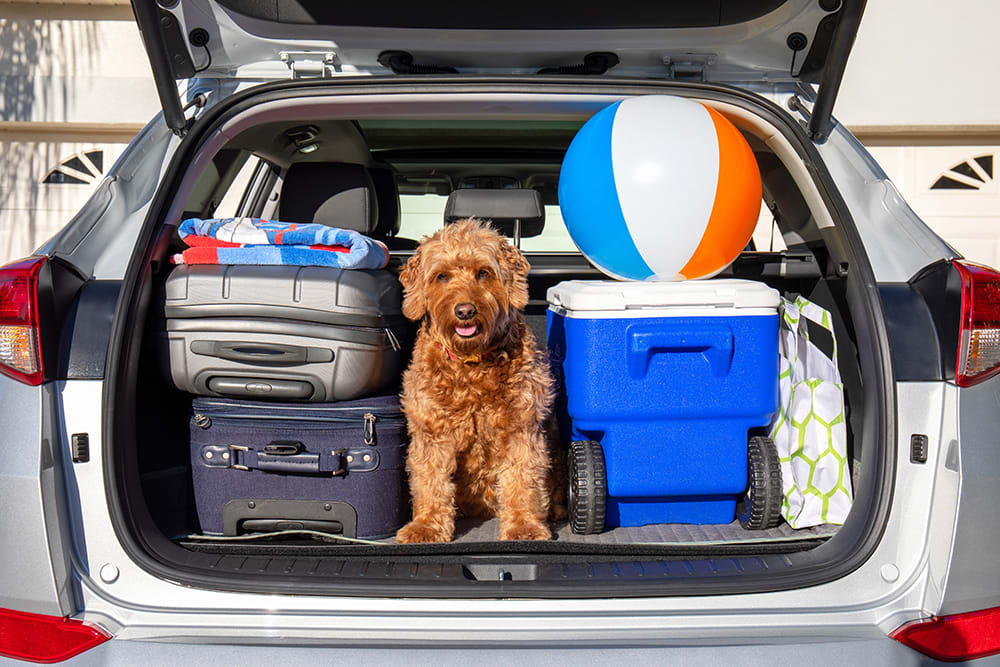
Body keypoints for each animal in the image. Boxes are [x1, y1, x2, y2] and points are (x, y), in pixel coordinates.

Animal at [392, 219, 564, 544]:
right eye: (442, 276)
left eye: (483, 273)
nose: (465, 311)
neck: (471, 363)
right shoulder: (431, 430)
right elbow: (430, 480)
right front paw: (426, 525)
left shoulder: (521, 427)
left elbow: (522, 479)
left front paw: (523, 526)